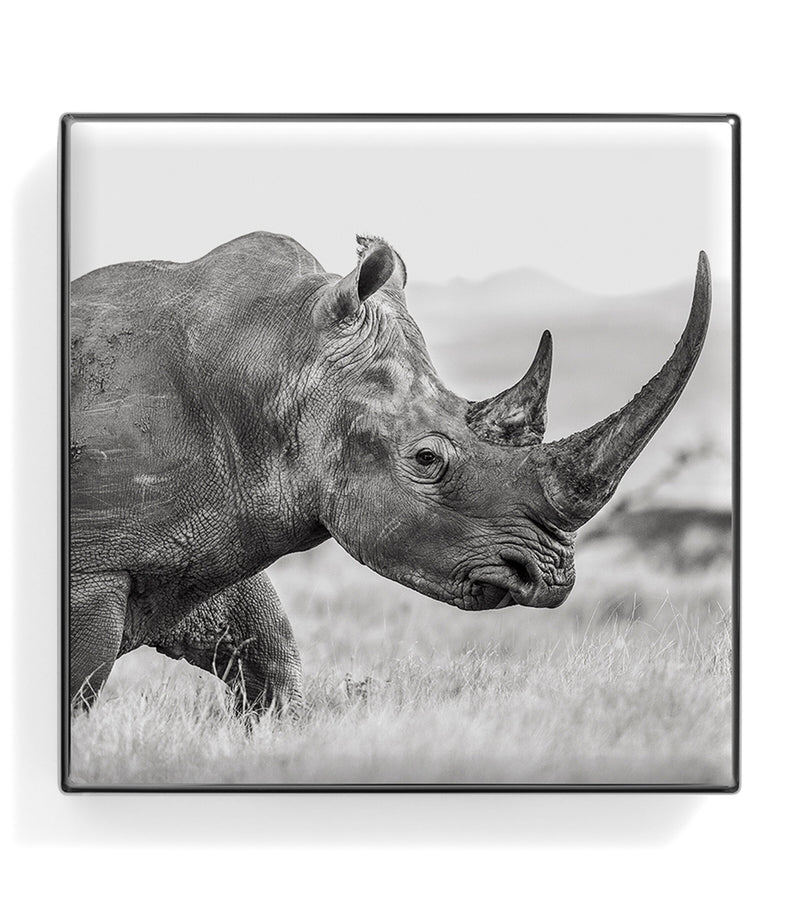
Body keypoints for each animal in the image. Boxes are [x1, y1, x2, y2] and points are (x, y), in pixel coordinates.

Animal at [69, 232, 711, 713]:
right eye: (428, 460)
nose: (551, 576)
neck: (278, 360)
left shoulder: (210, 528)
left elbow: (271, 658)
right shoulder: (95, 566)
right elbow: (80, 689)